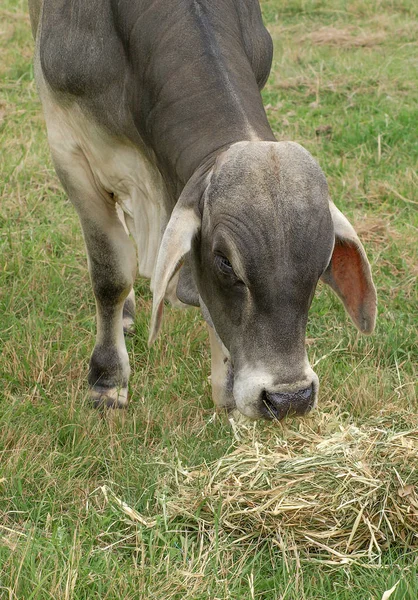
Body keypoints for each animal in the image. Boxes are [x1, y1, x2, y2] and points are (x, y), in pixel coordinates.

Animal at [28, 0, 376, 420]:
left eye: (324, 261)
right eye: (225, 262)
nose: (289, 398)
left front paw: (226, 382)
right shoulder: (71, 152)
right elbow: (110, 277)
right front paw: (107, 379)